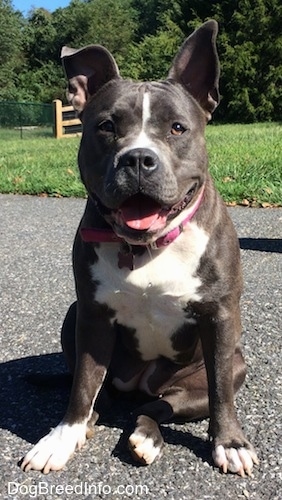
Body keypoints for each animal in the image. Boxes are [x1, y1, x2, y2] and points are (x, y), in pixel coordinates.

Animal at [22, 20, 258, 476]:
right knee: (104, 395)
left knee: (161, 405)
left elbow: (220, 392)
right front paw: (60, 438)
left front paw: (230, 443)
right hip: (73, 316)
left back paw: (147, 436)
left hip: (226, 366)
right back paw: (92, 425)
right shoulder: (93, 316)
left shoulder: (220, 317)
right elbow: (82, 386)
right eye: (106, 127)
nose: (137, 159)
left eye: (178, 128)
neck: (147, 246)